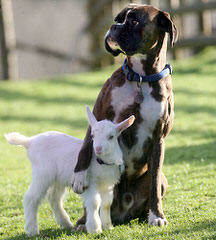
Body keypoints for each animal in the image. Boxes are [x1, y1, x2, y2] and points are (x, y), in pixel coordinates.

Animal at [4, 106, 133, 235]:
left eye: (111, 136)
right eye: (92, 136)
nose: (98, 149)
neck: (101, 161)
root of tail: (30, 142)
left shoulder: (108, 185)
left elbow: (106, 204)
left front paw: (108, 226)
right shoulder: (89, 182)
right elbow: (95, 202)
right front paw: (95, 229)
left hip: (57, 179)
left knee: (54, 198)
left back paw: (66, 224)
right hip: (42, 174)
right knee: (30, 198)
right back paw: (32, 230)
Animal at [71, 4, 178, 228]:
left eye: (134, 21)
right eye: (117, 19)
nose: (114, 27)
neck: (141, 78)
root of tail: (122, 213)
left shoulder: (159, 139)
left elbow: (154, 183)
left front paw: (157, 216)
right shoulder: (98, 115)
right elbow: (85, 146)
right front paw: (79, 176)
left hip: (162, 181)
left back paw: (146, 215)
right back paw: (83, 221)